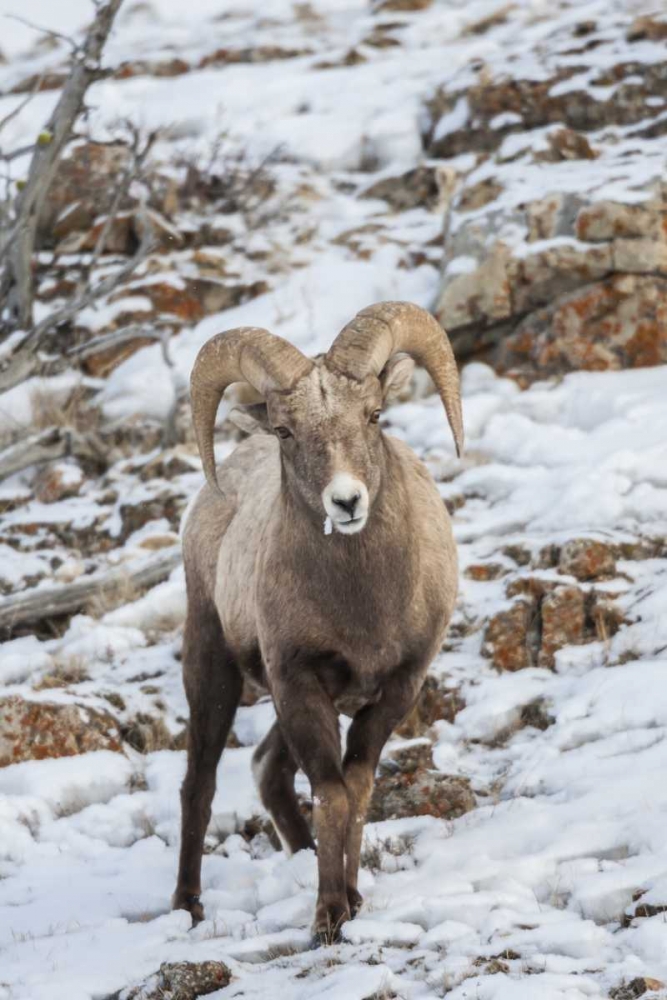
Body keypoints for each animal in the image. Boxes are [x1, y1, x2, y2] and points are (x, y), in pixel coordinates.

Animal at [172, 300, 463, 942]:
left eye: (374, 415)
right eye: (286, 431)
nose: (346, 502)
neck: (363, 607)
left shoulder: (395, 689)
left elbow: (356, 788)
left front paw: (350, 901)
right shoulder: (299, 684)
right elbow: (331, 793)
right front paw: (329, 917)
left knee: (265, 770)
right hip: (213, 669)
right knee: (199, 786)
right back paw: (186, 907)